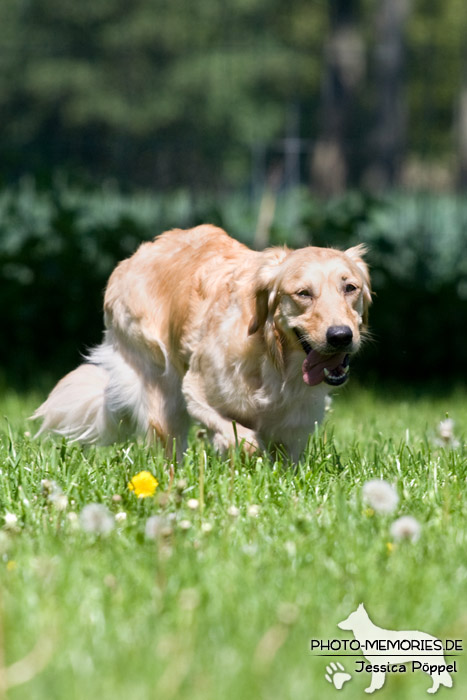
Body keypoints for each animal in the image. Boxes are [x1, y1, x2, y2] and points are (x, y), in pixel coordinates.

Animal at [33, 226, 372, 460]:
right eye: (303, 293)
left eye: (350, 288)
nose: (340, 336)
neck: (273, 361)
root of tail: (135, 255)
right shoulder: (195, 391)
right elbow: (243, 438)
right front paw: (239, 449)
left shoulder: (296, 426)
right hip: (162, 387)